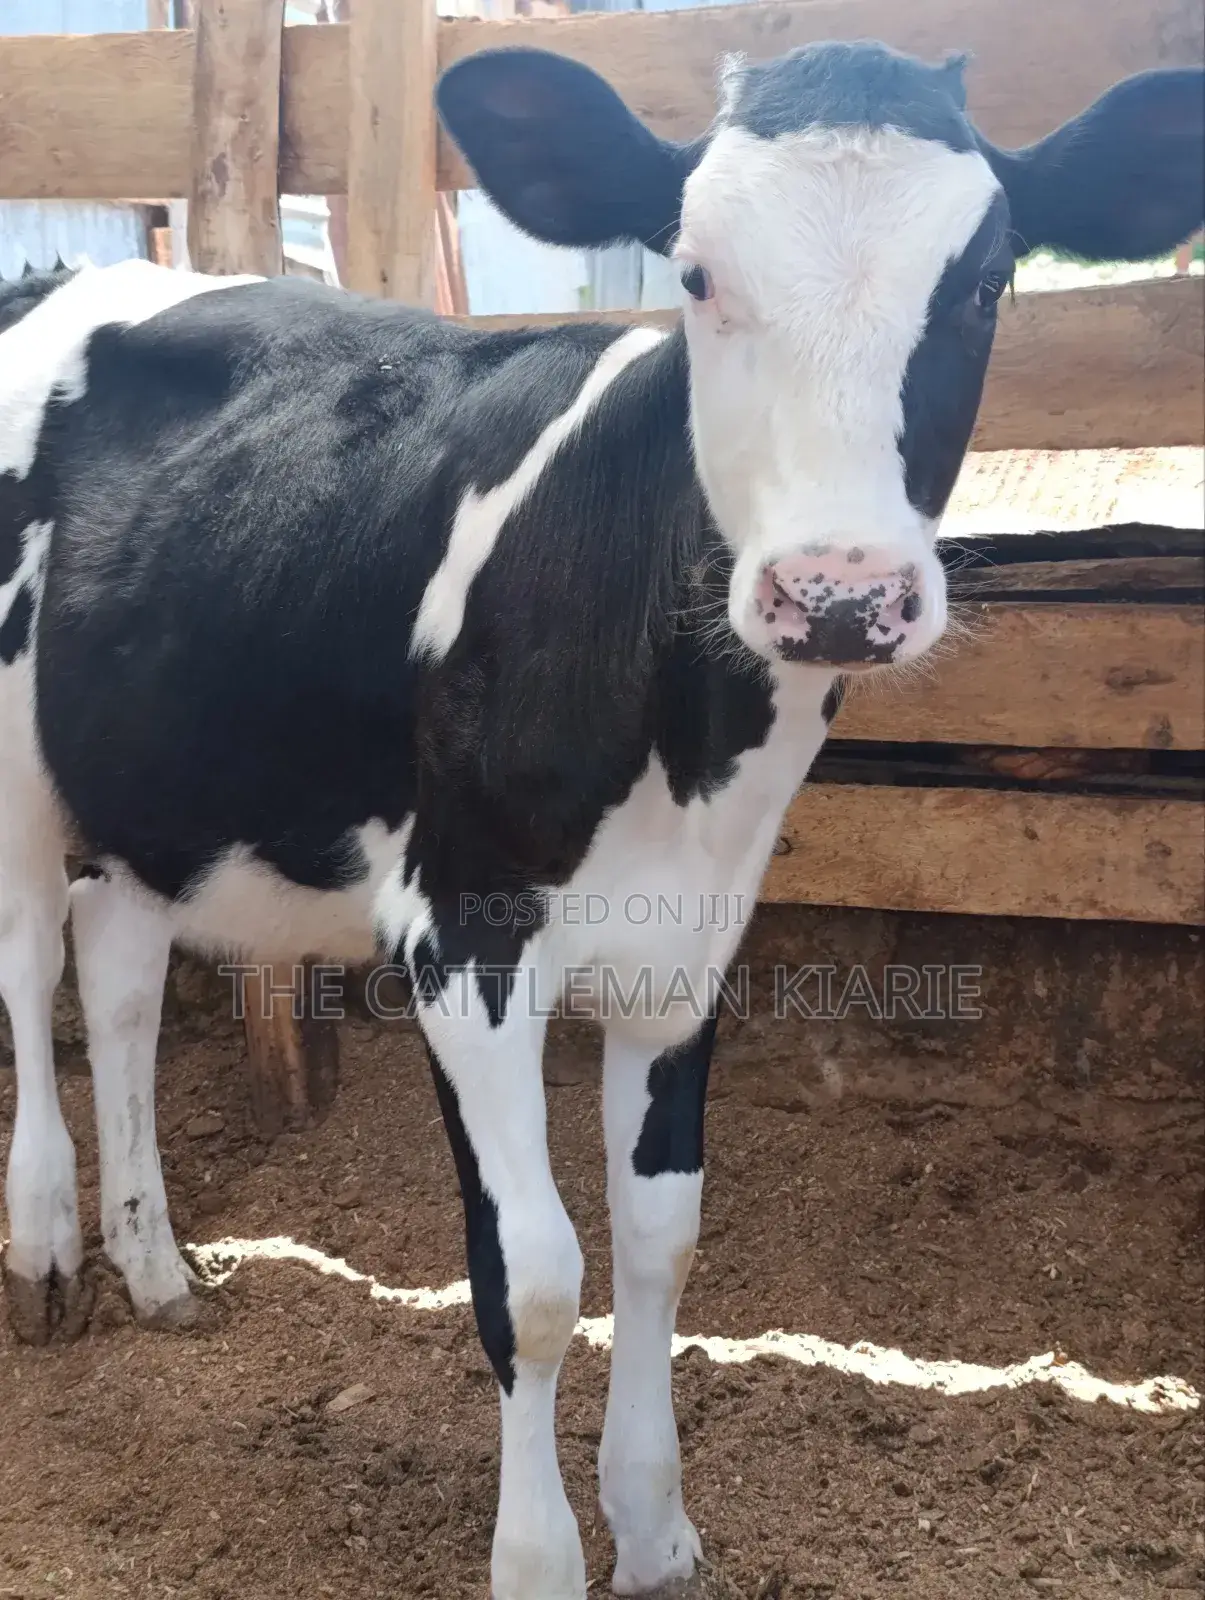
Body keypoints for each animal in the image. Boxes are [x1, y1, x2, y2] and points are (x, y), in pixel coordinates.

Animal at [1, 38, 1200, 1600]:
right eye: (691, 271)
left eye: (989, 280)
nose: (838, 593)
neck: (683, 744)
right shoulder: (461, 933)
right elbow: (534, 1277)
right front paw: (538, 1557)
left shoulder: (692, 943)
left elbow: (659, 1240)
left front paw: (653, 1521)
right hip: (10, 766)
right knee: (30, 963)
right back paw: (43, 1249)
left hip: (160, 770)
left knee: (121, 967)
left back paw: (152, 1266)